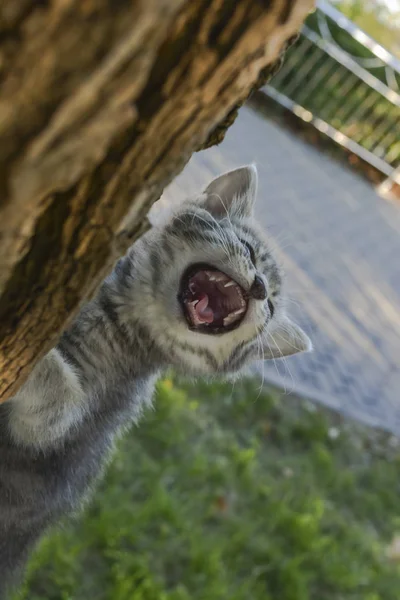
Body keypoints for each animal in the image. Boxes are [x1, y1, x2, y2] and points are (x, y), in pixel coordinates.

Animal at [0, 164, 310, 596]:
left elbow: (56, 402)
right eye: (249, 252)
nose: (262, 289)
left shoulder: (63, 426)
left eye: (273, 307)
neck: (120, 317)